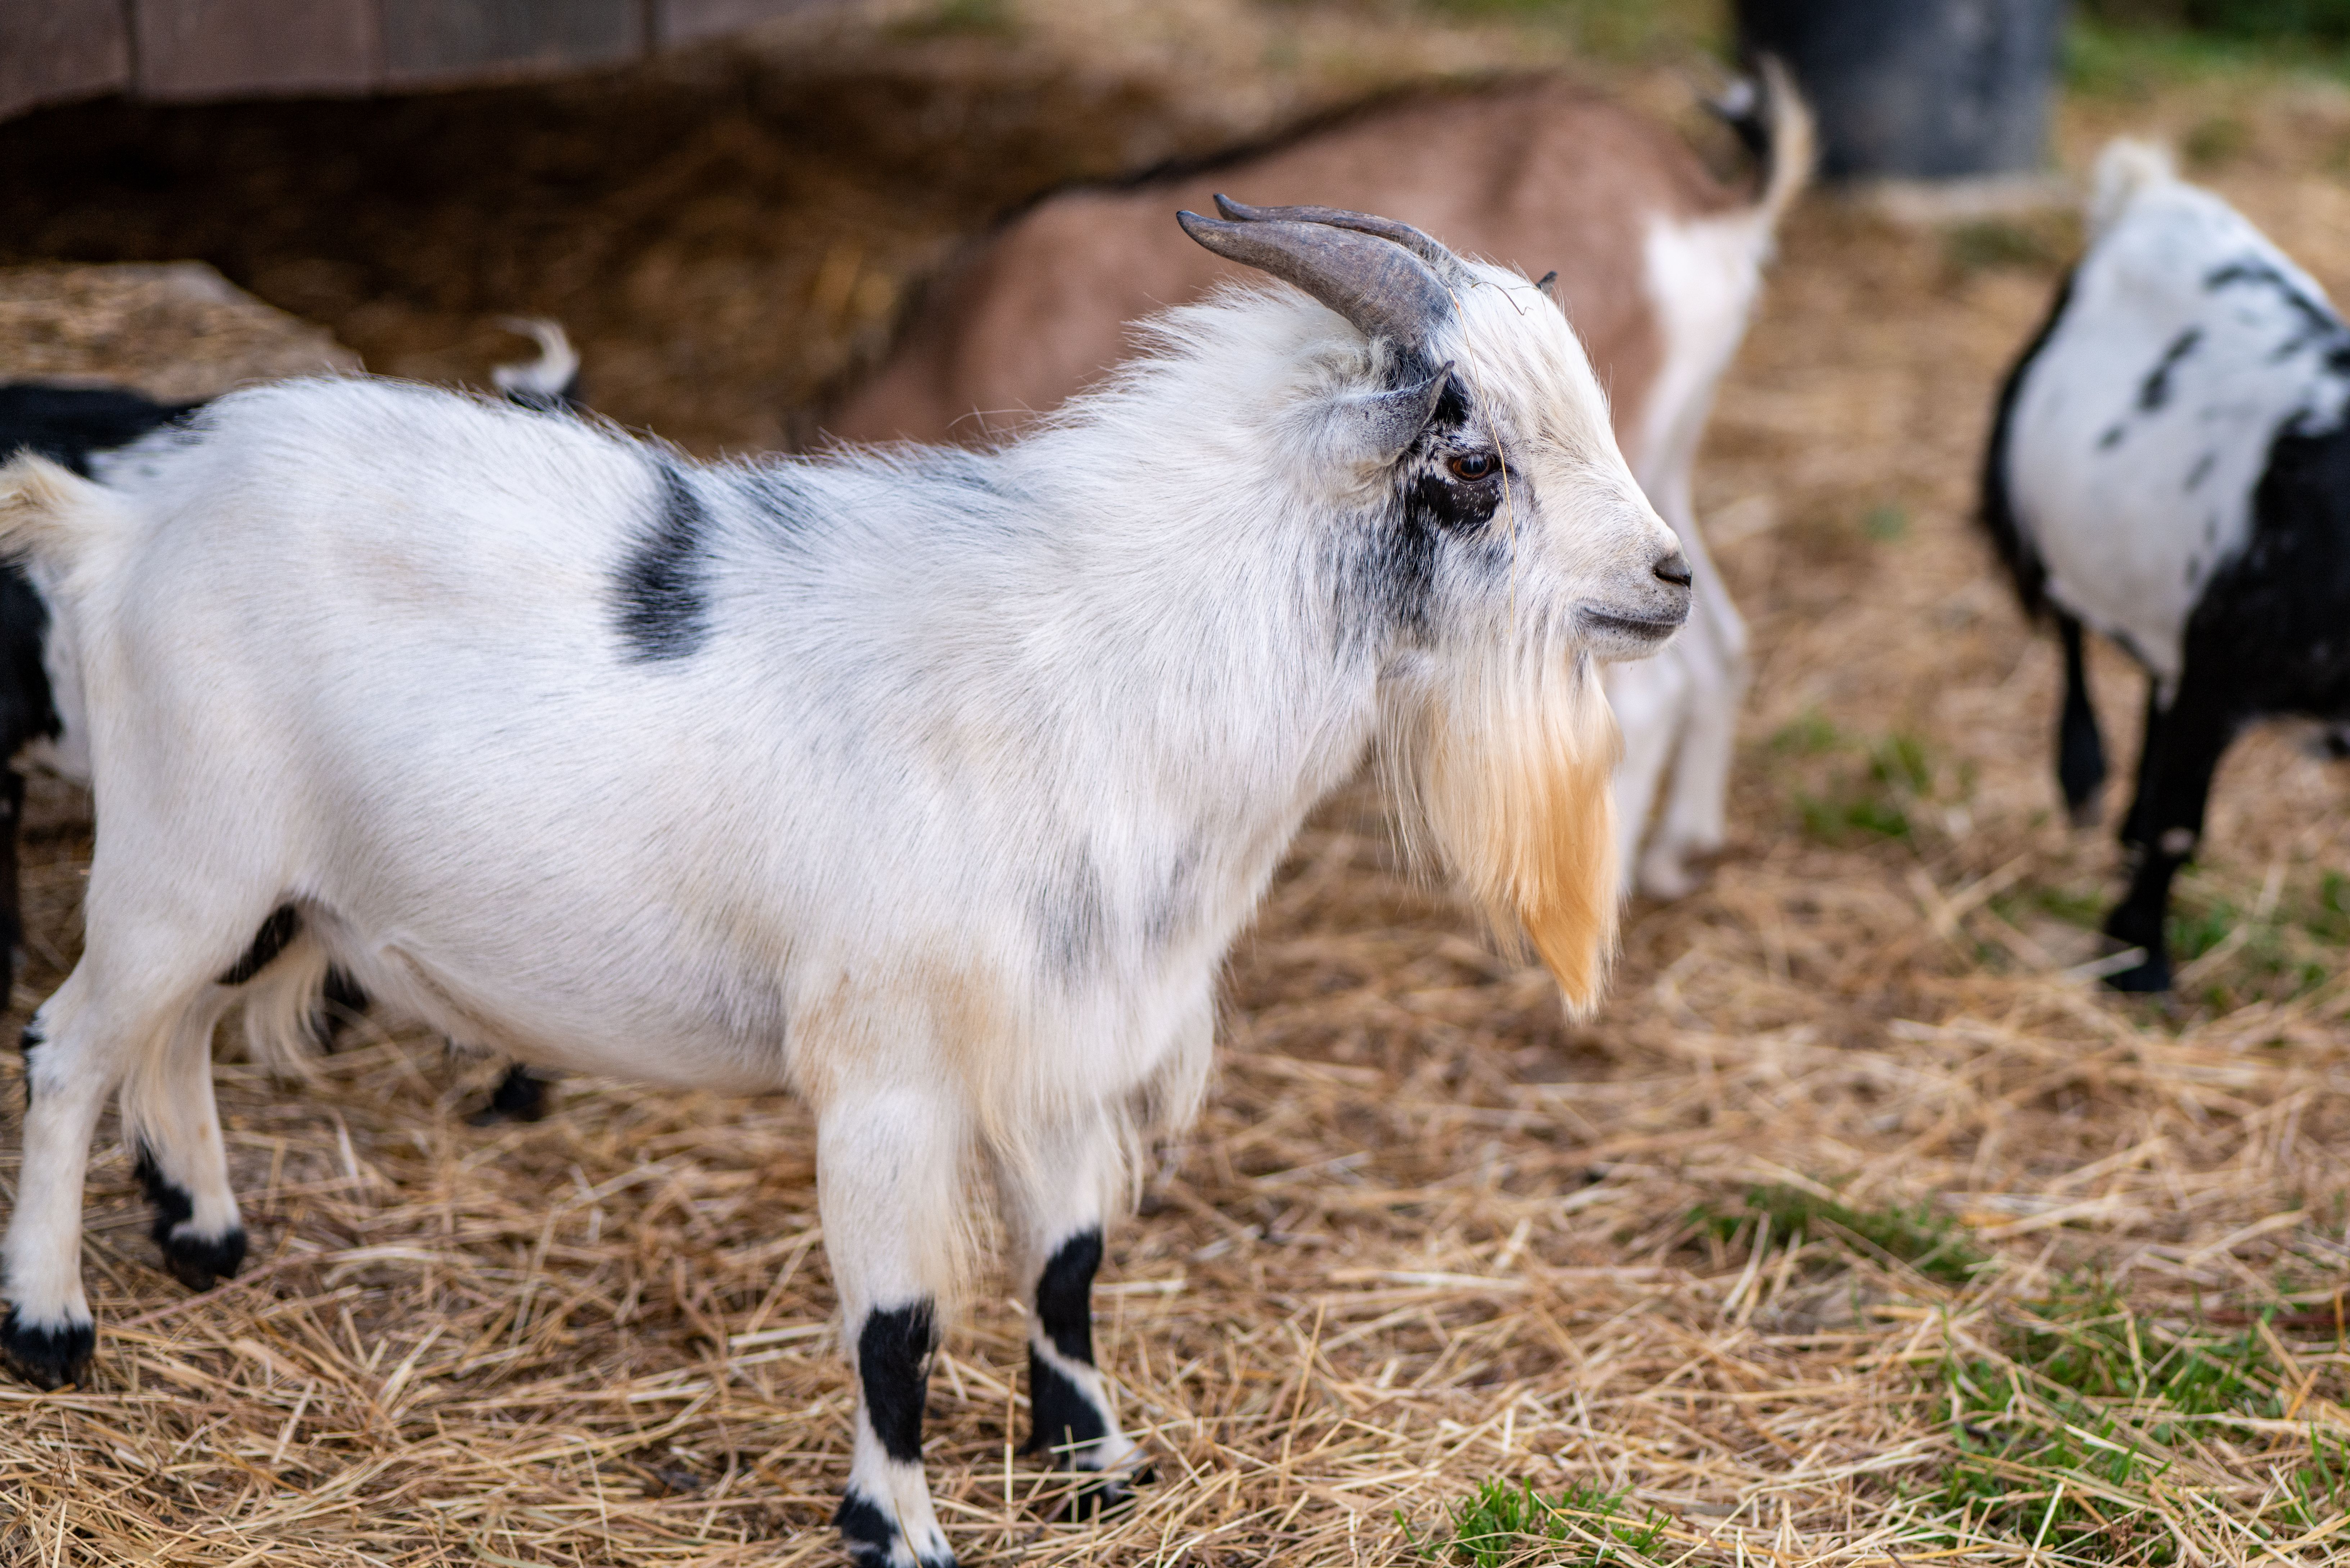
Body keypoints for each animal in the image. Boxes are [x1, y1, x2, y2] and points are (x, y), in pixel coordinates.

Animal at [0, 205, 1687, 1568]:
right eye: (1469, 459)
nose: (1670, 578)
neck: (1098, 662)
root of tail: (123, 518)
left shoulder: (1063, 1038)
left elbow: (1068, 1263)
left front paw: (1096, 1466)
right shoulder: (886, 1071)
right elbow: (895, 1326)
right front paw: (899, 1529)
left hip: (265, 885)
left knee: (173, 1036)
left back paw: (206, 1235)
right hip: (184, 853)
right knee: (74, 1045)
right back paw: (54, 1326)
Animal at [830, 67, 1812, 899]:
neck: (964, 337)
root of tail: (1704, 206)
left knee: (1652, 692)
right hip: (1658, 473)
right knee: (1720, 641)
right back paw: (1677, 854)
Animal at [1983, 141, 2350, 991]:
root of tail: (2149, 195)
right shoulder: (2224, 674)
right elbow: (2183, 826)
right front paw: (2138, 957)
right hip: (2021, 488)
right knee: (2066, 623)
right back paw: (2084, 778)